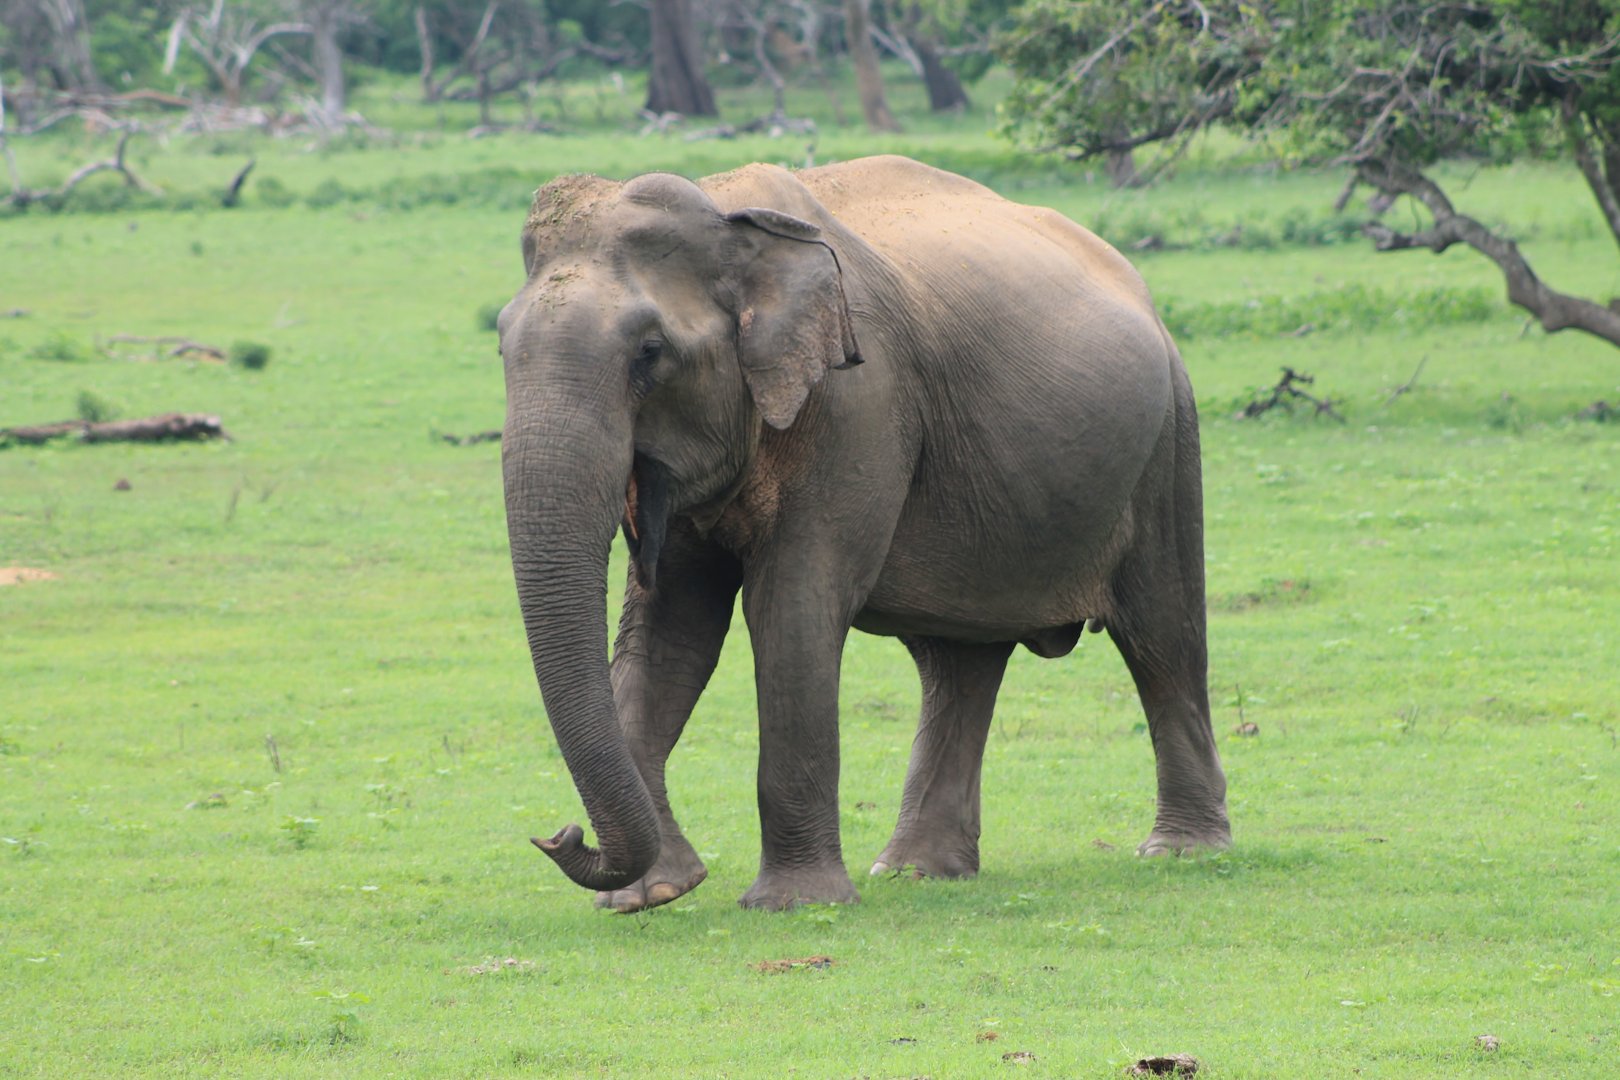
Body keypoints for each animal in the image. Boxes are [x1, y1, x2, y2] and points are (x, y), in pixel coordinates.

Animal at [499, 154, 1231, 912]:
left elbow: (790, 606)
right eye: (500, 345)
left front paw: (796, 904)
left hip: (1169, 439)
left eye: (649, 352)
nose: (558, 836)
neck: (729, 217)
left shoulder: (861, 402)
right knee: (960, 662)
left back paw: (1181, 851)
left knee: (1162, 634)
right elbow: (672, 624)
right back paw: (918, 870)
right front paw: (652, 894)